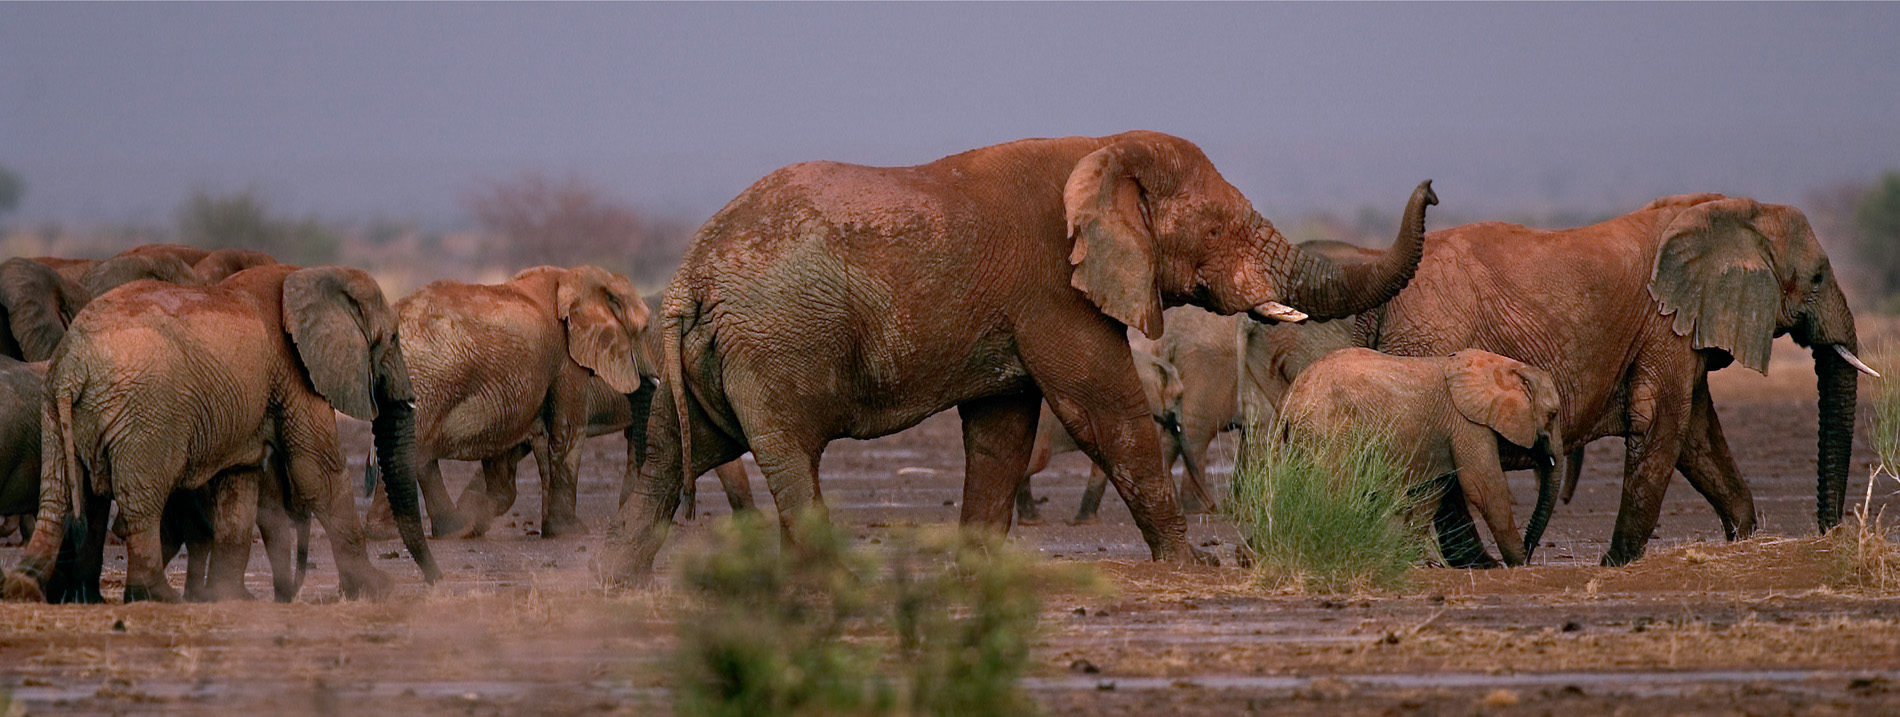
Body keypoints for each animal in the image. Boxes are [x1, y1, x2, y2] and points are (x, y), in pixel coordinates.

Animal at [0, 266, 435, 600]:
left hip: (54, 410)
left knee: (60, 496)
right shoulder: (296, 371)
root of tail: (73, 363)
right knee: (141, 500)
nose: (437, 581)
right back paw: (155, 596)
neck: (313, 276)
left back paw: (28, 587)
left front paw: (229, 598)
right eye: (393, 338)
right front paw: (378, 590)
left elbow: (239, 482)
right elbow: (319, 473)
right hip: (146, 413)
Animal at [600, 130, 1428, 581]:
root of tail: (689, 276)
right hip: (777, 341)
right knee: (789, 453)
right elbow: (1103, 409)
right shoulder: (1054, 288)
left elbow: (1000, 430)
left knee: (675, 452)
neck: (1100, 151)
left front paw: (977, 569)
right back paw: (823, 578)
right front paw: (1194, 565)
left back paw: (615, 586)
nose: (1432, 185)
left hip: (718, 357)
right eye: (1220, 229)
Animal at [1269, 346, 1565, 562]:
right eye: (1552, 415)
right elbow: (1484, 487)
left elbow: (1429, 494)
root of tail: (1287, 400)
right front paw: (1518, 563)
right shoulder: (1467, 423)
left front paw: (1404, 559)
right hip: (1327, 428)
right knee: (1335, 486)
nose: (1530, 548)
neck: (1504, 366)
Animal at [1360, 193, 1877, 562]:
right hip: (1429, 342)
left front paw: (1745, 538)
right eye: (1817, 278)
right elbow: (1663, 424)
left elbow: (1697, 437)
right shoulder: (1664, 325)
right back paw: (1484, 565)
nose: (1830, 532)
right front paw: (1616, 563)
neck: (1732, 210)